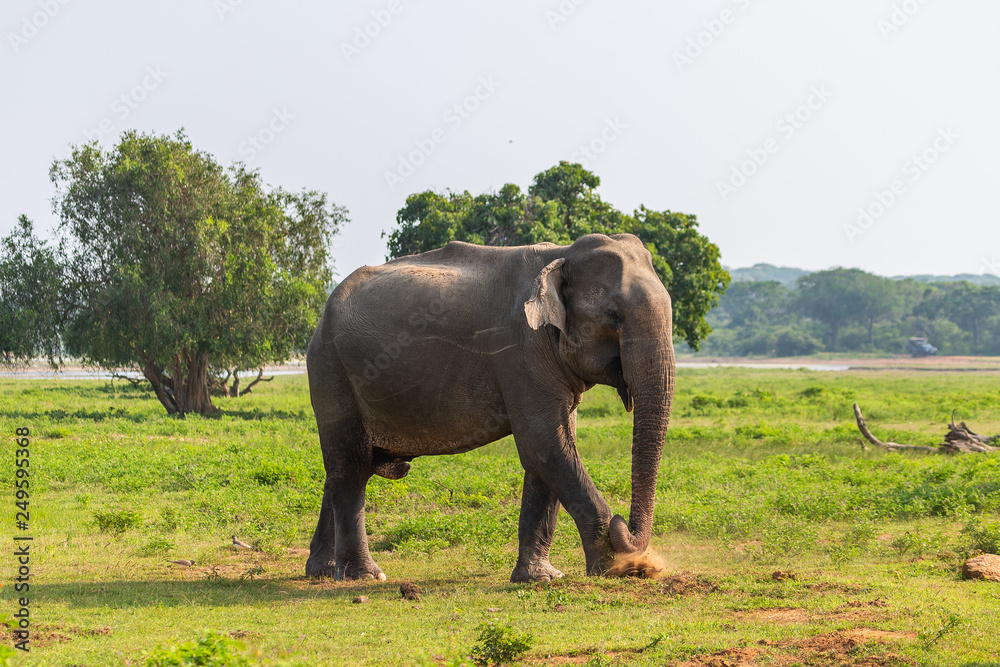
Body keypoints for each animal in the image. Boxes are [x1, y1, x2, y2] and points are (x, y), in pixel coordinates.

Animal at [304, 233, 675, 582]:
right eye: (613, 316)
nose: (622, 524)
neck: (563, 252)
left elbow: (549, 449)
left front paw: (541, 577)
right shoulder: (520, 350)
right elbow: (544, 445)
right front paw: (619, 568)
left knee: (347, 468)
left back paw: (323, 570)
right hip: (330, 370)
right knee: (351, 466)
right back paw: (364, 575)